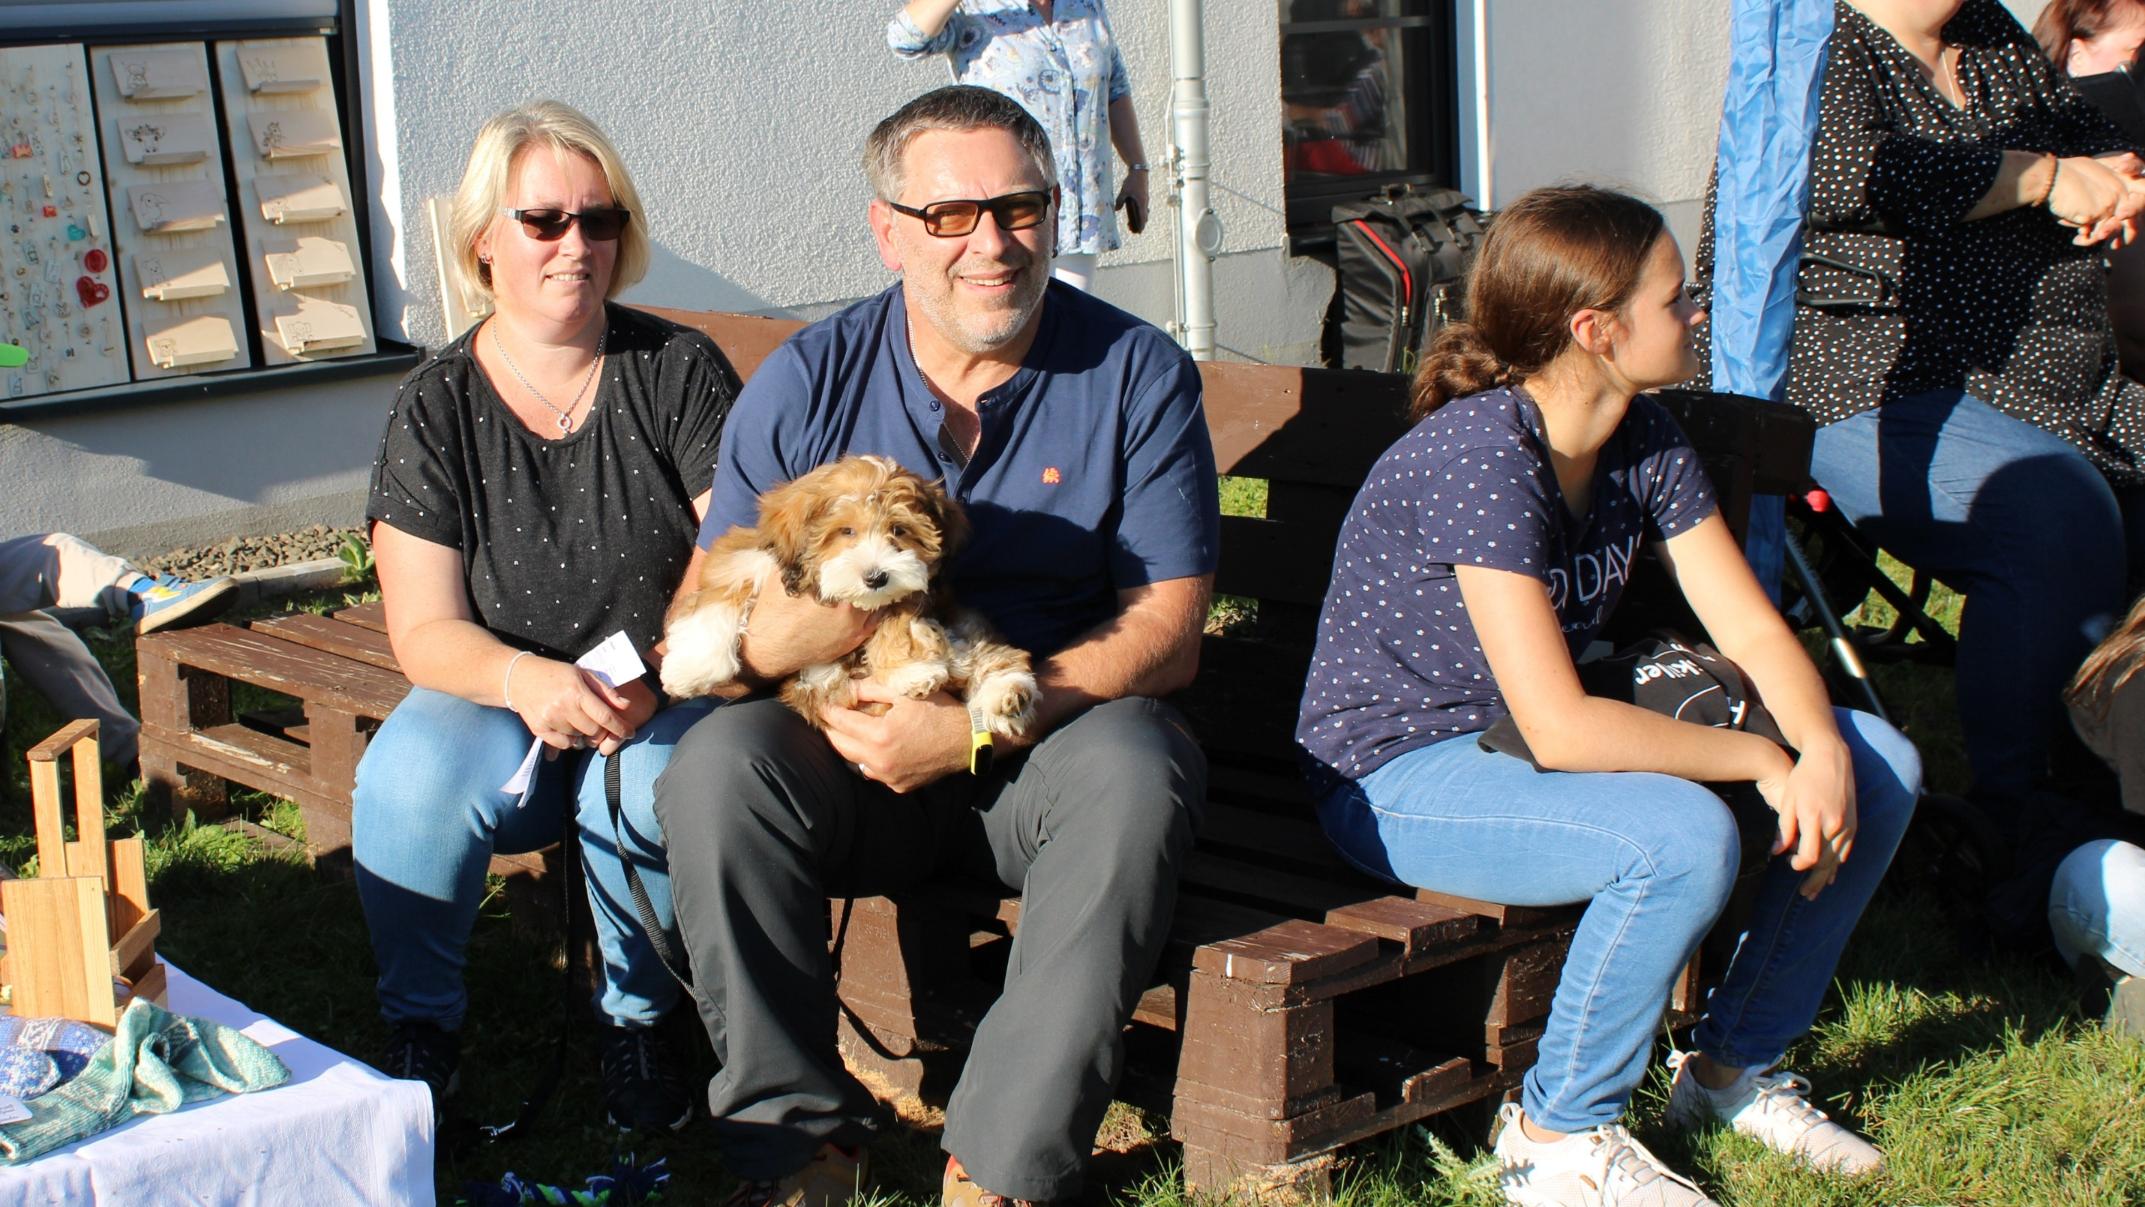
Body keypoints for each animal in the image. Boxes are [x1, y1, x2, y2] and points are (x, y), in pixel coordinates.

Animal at [664, 454, 1042, 737]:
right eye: (845, 531)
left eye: (899, 530)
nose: (876, 577)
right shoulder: (743, 559)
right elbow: (718, 597)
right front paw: (692, 667)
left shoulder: (916, 593)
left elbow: (898, 622)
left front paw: (911, 670)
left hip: (962, 628)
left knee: (986, 655)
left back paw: (1007, 694)